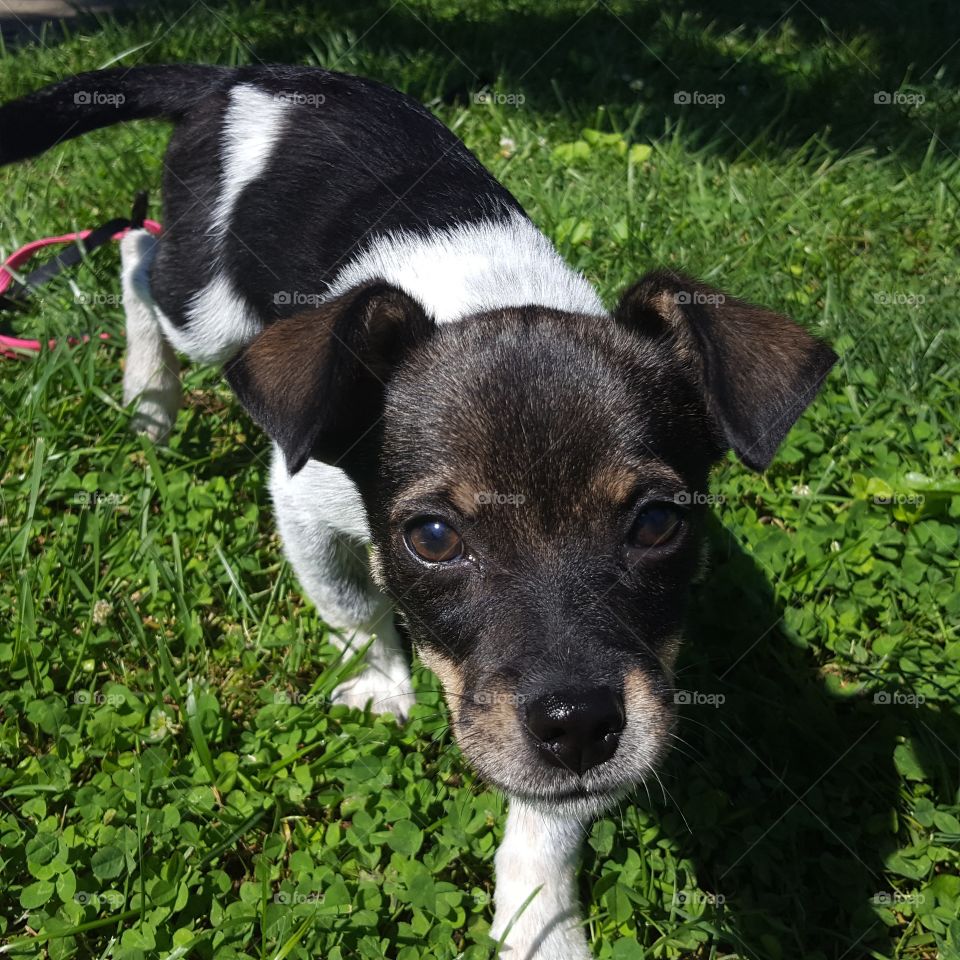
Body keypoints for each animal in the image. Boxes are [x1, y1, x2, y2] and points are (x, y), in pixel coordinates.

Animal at [0, 63, 836, 956]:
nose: (579, 725)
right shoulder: (301, 500)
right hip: (205, 307)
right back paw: (149, 396)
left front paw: (539, 919)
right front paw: (380, 685)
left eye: (657, 523)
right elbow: (354, 605)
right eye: (433, 538)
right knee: (138, 254)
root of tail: (245, 74)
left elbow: (546, 817)